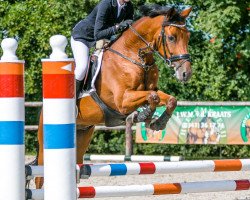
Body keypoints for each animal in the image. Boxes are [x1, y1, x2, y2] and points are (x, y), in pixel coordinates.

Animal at [34, 5, 192, 188]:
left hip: (82, 136)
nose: (186, 73)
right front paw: (144, 115)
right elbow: (153, 97)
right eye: (171, 37)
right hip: (45, 142)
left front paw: (157, 122)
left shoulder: (150, 90)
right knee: (39, 176)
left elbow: (168, 99)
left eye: (188, 37)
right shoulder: (122, 100)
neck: (134, 56)